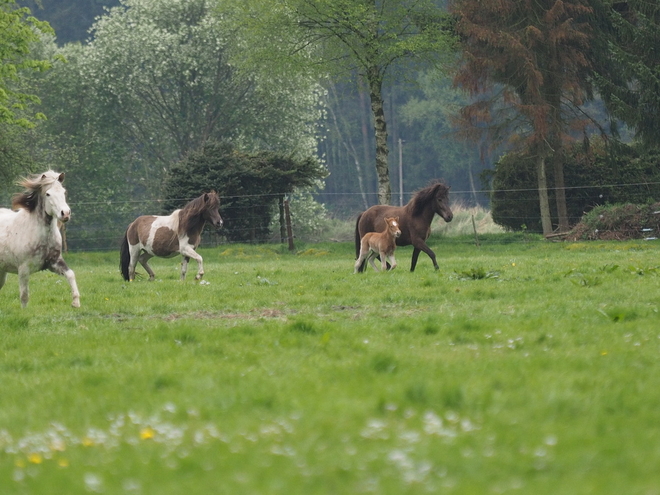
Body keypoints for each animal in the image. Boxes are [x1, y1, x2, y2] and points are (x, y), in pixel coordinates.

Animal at [0, 172, 81, 308]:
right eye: (48, 194)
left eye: (64, 192)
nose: (65, 213)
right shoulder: (23, 269)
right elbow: (24, 296)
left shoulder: (54, 262)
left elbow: (71, 274)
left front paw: (75, 302)